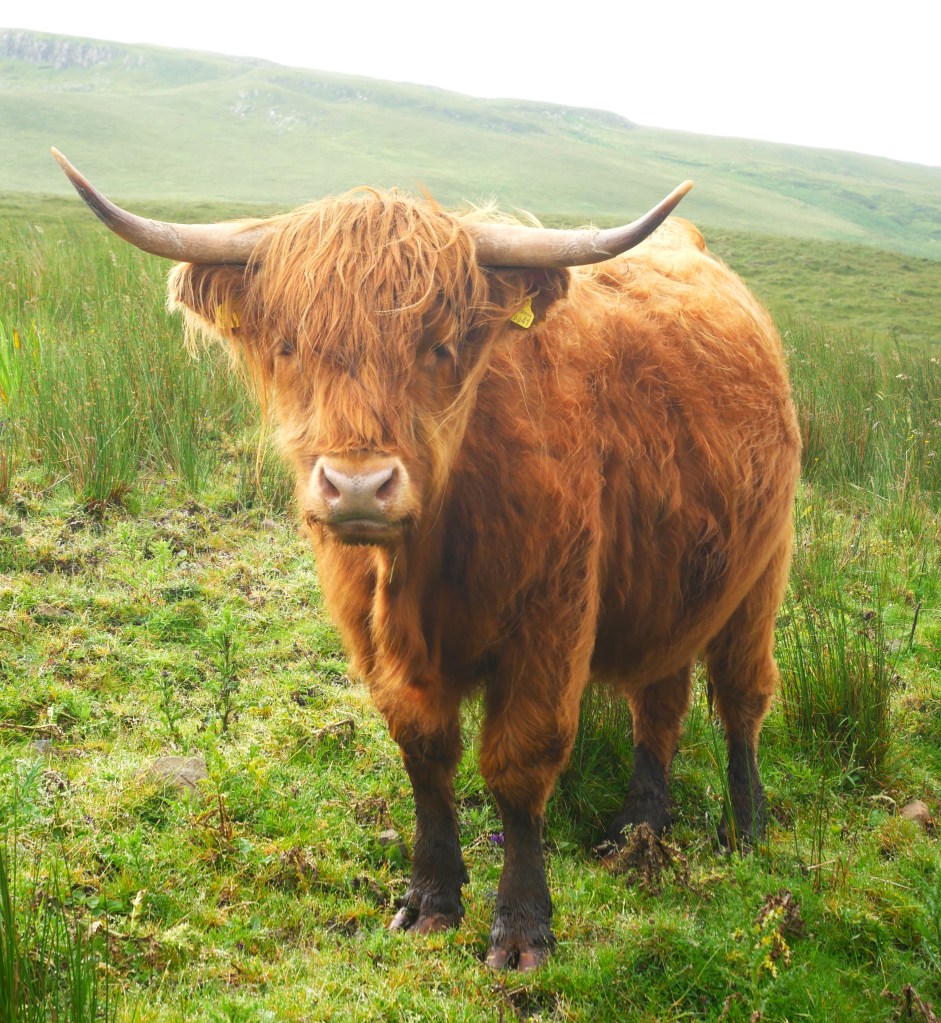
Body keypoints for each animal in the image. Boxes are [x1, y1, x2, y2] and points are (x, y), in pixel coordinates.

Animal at [54, 148, 801, 971]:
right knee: (660, 701)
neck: (426, 561)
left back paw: (746, 827)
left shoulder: (552, 617)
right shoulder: (374, 637)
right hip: (671, 586)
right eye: (289, 348)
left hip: (762, 571)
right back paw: (636, 830)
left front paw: (520, 929)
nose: (357, 485)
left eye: (439, 346)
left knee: (741, 695)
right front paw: (432, 899)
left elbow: (519, 762)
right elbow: (424, 753)